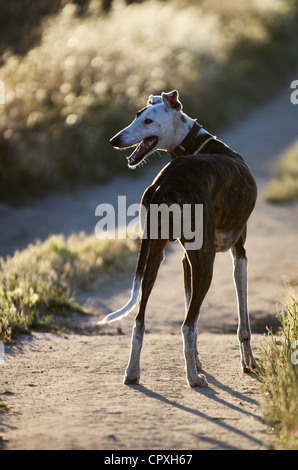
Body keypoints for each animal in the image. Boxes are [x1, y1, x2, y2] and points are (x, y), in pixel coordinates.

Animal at [99, 90, 258, 388]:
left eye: (147, 119)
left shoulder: (186, 260)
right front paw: (249, 363)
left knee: (140, 320)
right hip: (205, 261)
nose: (114, 141)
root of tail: (165, 182)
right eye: (137, 117)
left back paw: (133, 373)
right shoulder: (238, 253)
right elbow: (242, 320)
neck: (200, 146)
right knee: (186, 324)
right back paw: (194, 379)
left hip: (154, 255)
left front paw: (197, 360)